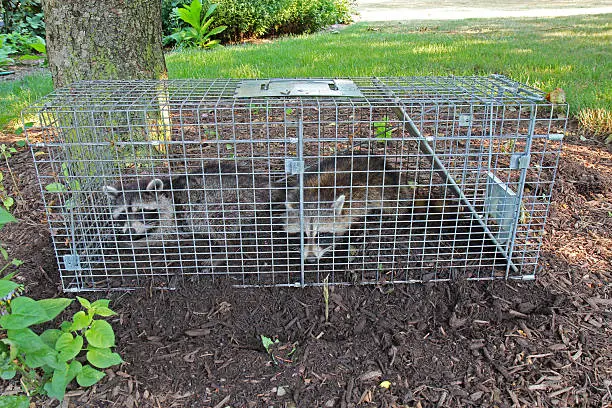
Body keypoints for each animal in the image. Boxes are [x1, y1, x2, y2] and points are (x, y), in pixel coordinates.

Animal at [282, 153, 412, 262]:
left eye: (321, 235)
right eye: (302, 235)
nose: (311, 259)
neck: (315, 196)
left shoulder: (359, 198)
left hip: (388, 187)